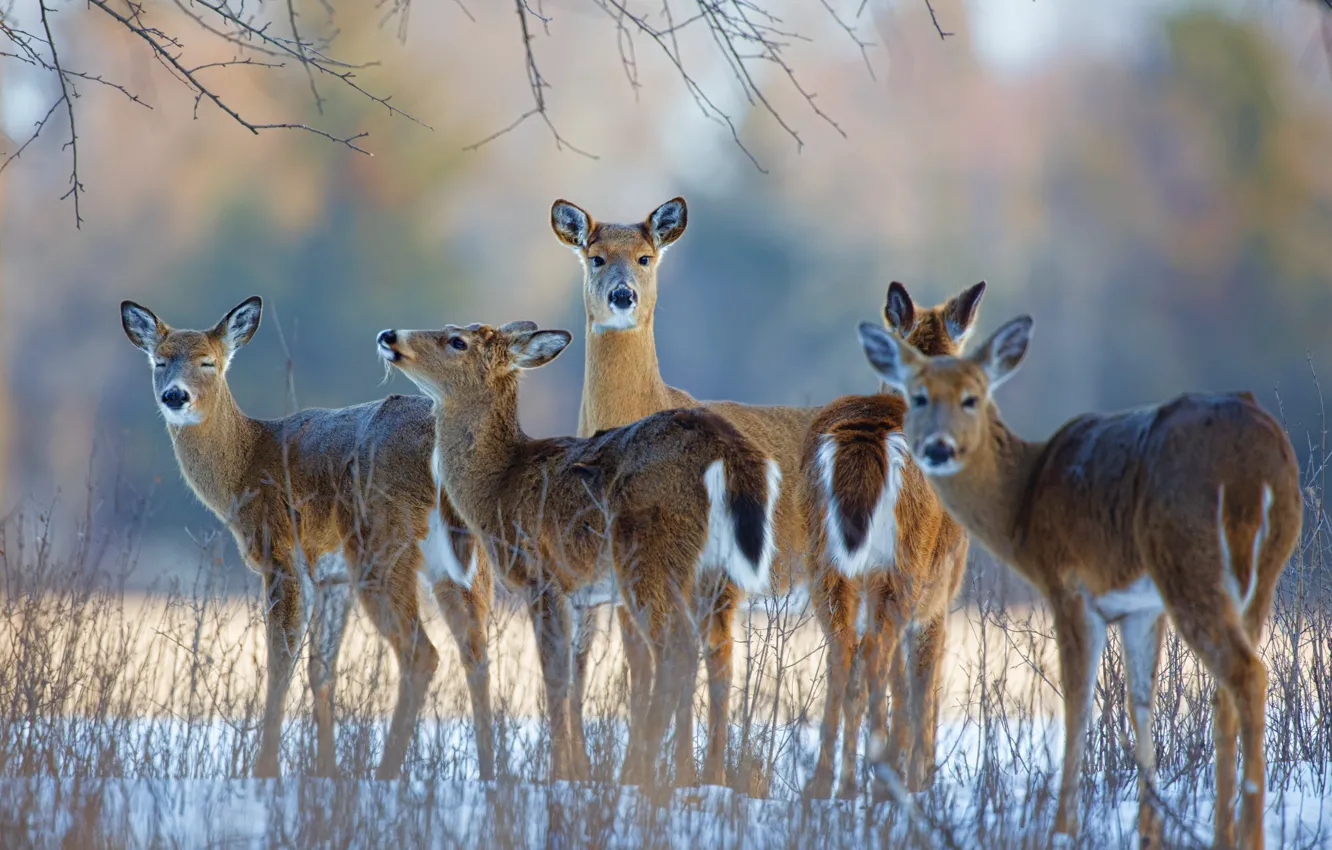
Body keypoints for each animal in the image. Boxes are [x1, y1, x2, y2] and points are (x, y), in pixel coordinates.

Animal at [120, 297, 495, 782]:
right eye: (160, 361)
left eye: (208, 362)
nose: (175, 396)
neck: (245, 466)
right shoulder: (332, 577)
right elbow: (321, 669)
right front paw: (326, 772)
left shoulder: (282, 554)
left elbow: (281, 662)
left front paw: (266, 770)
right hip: (463, 561)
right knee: (477, 652)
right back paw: (491, 775)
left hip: (382, 542)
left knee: (422, 655)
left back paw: (386, 774)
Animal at [376, 320, 780, 784]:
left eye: (456, 341)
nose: (389, 335)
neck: (498, 485)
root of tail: (727, 450)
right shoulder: (578, 592)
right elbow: (573, 680)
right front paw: (576, 772)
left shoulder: (541, 574)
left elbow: (553, 678)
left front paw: (557, 774)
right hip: (717, 573)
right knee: (720, 654)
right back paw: (704, 778)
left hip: (651, 552)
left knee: (677, 648)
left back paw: (640, 773)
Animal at [551, 196, 819, 787]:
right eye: (596, 257)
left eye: (646, 257)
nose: (622, 295)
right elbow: (639, 668)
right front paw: (648, 770)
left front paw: (678, 774)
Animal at [802, 280, 985, 801]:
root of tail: (868, 435)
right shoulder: (940, 595)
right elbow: (924, 683)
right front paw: (922, 774)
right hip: (905, 564)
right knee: (876, 655)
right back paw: (877, 778)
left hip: (826, 564)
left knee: (845, 652)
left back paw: (829, 782)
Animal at [858, 313, 1302, 850]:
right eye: (919, 396)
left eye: (972, 397)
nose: (939, 448)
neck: (1023, 499)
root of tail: (1251, 468)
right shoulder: (1139, 606)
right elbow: (1139, 702)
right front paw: (1148, 830)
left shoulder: (1068, 584)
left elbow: (1076, 702)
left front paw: (1063, 827)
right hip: (1263, 573)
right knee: (1230, 685)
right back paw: (1226, 830)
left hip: (1188, 558)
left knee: (1245, 673)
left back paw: (1246, 832)